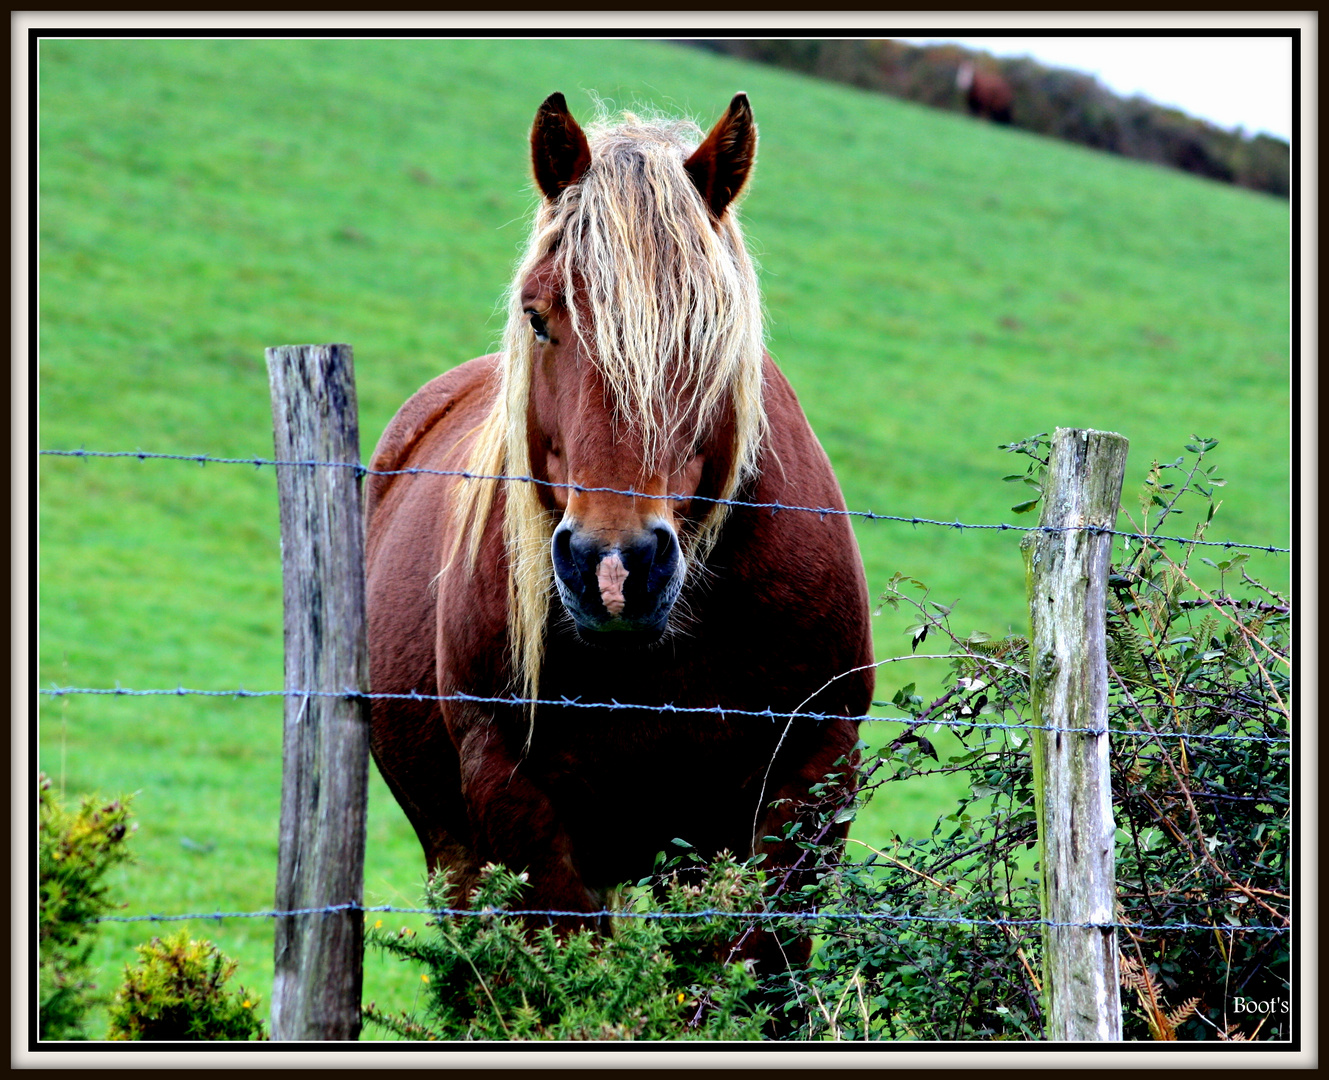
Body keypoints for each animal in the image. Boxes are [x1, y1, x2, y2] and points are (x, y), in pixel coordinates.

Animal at [364, 88, 877, 972]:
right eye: (537, 316)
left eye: (710, 326)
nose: (613, 568)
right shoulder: (517, 806)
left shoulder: (806, 786)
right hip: (456, 853)